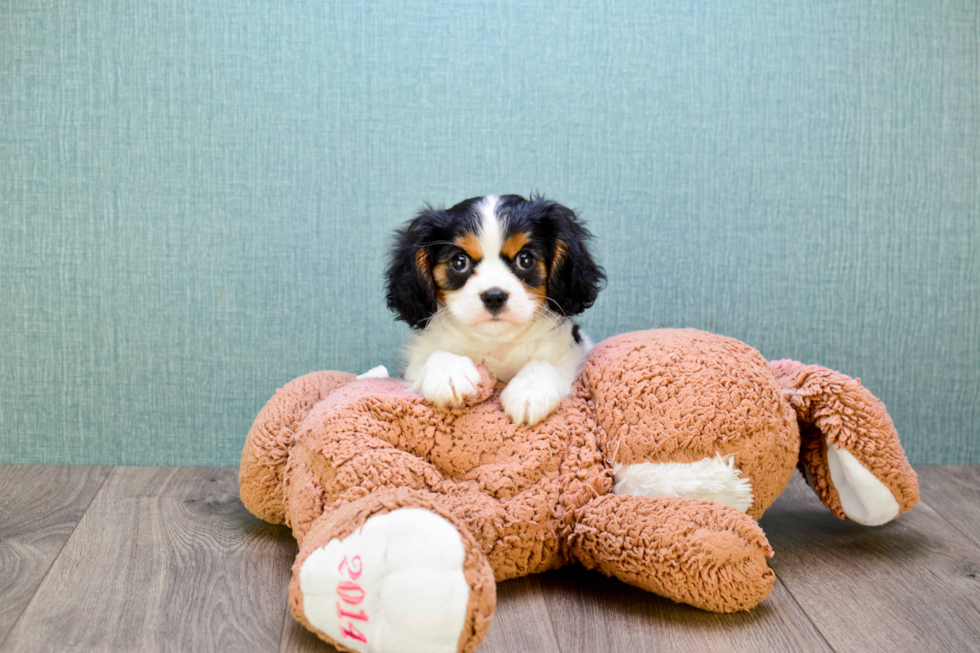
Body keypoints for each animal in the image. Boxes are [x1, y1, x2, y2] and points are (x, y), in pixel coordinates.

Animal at [384, 194, 604, 426]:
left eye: (525, 259)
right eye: (459, 262)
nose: (494, 296)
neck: (495, 341)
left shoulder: (572, 351)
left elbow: (546, 363)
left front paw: (530, 390)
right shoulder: (415, 361)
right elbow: (434, 355)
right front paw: (449, 373)